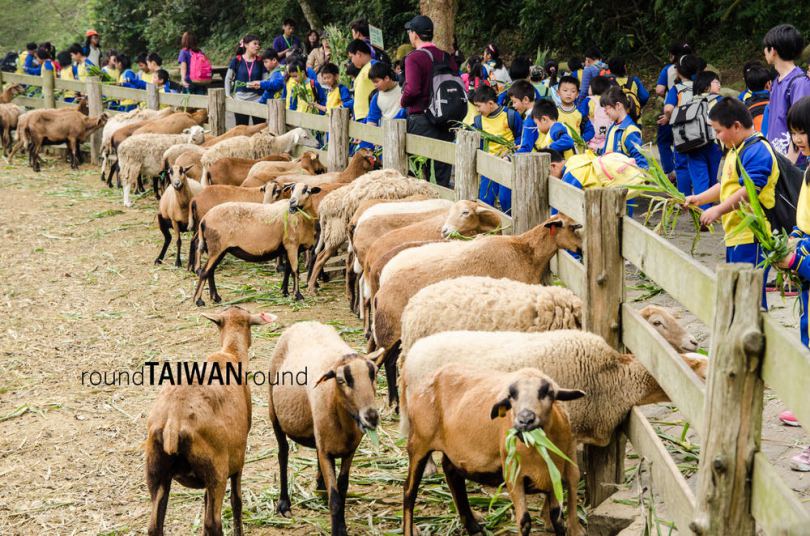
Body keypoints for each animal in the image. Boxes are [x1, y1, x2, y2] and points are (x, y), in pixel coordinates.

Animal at [145, 306, 277, 536]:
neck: (231, 353)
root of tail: (173, 424)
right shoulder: (237, 460)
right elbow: (236, 501)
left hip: (156, 471)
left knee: (155, 526)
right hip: (217, 470)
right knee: (213, 522)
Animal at [268, 321, 385, 535]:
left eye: (373, 374)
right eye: (341, 380)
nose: (371, 417)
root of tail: (305, 322)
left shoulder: (349, 450)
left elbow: (343, 488)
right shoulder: (326, 453)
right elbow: (335, 499)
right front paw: (338, 530)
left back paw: (320, 485)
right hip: (274, 413)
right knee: (283, 454)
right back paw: (284, 503)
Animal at [307, 169, 439, 293]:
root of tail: (324, 205)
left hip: (333, 232)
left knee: (320, 255)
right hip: (336, 233)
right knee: (321, 257)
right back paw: (312, 286)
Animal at [372, 213, 582, 406]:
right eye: (573, 227)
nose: (581, 250)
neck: (526, 252)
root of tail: (379, 293)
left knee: (389, 361)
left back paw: (394, 403)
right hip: (390, 332)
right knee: (378, 362)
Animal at [403, 364, 584, 536]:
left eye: (548, 392)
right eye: (511, 396)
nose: (525, 420)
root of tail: (434, 373)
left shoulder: (554, 474)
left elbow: (558, 520)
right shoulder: (513, 475)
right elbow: (524, 522)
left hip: (453, 449)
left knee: (452, 475)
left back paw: (473, 527)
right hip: (419, 441)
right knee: (409, 491)